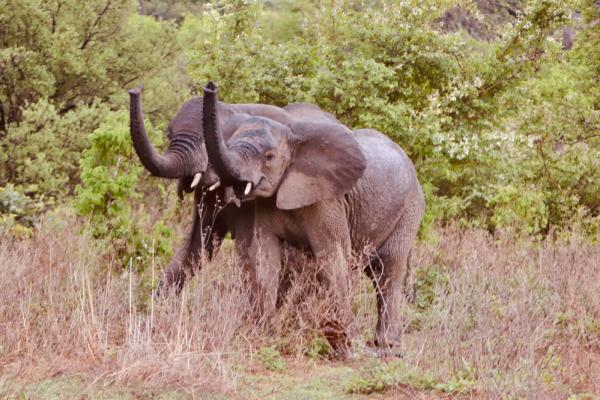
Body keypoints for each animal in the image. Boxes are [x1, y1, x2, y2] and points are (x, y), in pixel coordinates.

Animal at [202, 82, 426, 350]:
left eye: (269, 157)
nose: (210, 86)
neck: (292, 136)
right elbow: (265, 255)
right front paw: (266, 333)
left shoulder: (328, 201)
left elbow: (332, 256)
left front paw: (346, 338)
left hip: (411, 207)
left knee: (387, 268)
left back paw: (386, 346)